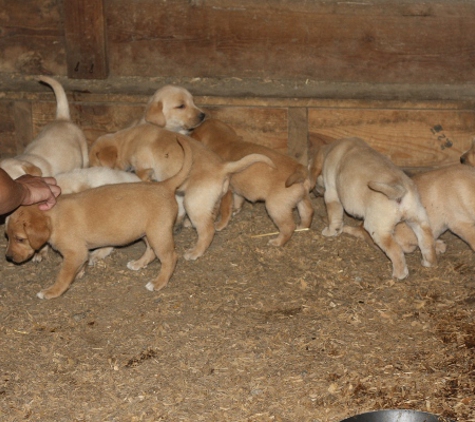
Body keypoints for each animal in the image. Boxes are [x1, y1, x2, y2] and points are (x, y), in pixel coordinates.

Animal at [3, 137, 193, 298]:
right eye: (8, 237)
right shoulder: (80, 252)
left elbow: (63, 276)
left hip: (158, 234)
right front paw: (80, 273)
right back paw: (139, 263)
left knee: (170, 258)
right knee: (151, 251)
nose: (9, 258)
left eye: (20, 239)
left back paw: (158, 282)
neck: (54, 216)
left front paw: (52, 291)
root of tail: (163, 185)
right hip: (147, 232)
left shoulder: (74, 253)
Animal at [89, 123, 276, 260]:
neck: (129, 140)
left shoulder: (143, 169)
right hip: (209, 199)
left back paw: (194, 252)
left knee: (207, 231)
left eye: (93, 163)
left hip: (193, 203)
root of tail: (222, 167)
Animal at [190, 117, 316, 246]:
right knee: (308, 212)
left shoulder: (226, 192)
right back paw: (302, 227)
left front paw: (220, 225)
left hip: (275, 207)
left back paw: (277, 242)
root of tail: (299, 169)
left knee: (288, 227)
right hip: (301, 199)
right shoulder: (237, 190)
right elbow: (238, 200)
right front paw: (236, 210)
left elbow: (225, 210)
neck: (225, 141)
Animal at [308, 136, 438, 280]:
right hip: (419, 220)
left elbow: (334, 216)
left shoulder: (331, 193)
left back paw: (399, 274)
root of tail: (399, 189)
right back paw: (428, 262)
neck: (330, 150)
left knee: (396, 251)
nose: (315, 193)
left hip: (378, 229)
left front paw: (330, 231)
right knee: (427, 242)